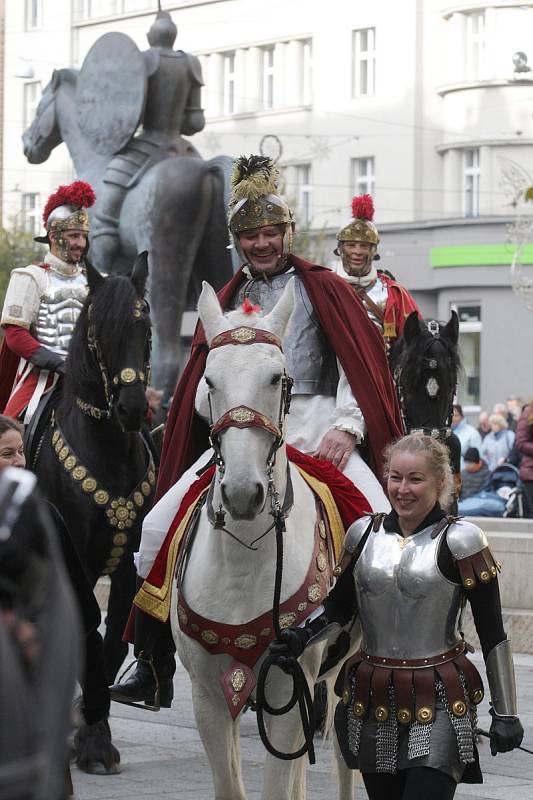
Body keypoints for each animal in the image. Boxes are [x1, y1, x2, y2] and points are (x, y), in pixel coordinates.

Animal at [29, 255, 155, 680]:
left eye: (146, 329)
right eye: (101, 332)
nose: (132, 409)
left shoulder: (127, 567)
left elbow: (111, 644)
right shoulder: (77, 563)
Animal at [170, 282, 358, 800]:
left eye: (276, 378)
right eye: (209, 381)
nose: (242, 493)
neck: (243, 560)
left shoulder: (289, 693)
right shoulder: (208, 697)